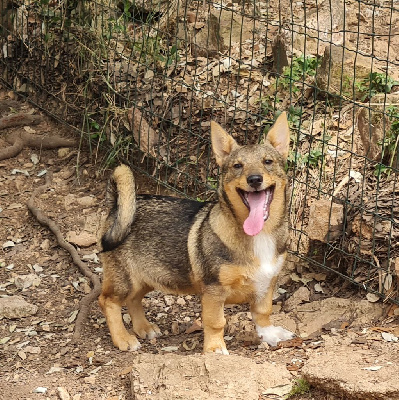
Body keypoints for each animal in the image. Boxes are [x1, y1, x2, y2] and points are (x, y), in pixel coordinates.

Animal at [99, 112, 296, 354]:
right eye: (237, 166)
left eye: (268, 162)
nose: (255, 179)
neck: (260, 235)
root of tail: (115, 205)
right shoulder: (214, 291)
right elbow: (215, 322)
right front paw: (215, 349)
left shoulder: (267, 283)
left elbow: (263, 312)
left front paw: (270, 334)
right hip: (125, 279)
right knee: (108, 301)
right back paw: (123, 338)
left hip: (146, 277)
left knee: (133, 300)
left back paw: (144, 327)